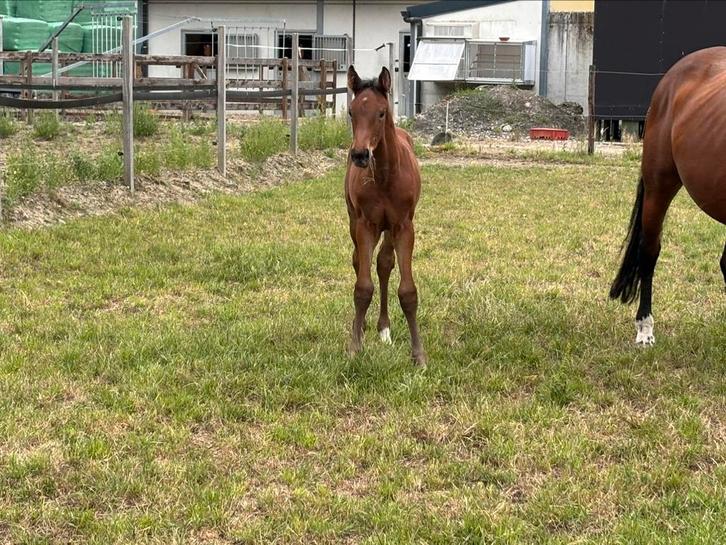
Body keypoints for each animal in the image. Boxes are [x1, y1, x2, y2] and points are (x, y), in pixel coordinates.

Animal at [344, 65, 426, 365]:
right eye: (351, 112)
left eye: (381, 113)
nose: (359, 155)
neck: (385, 176)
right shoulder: (365, 225)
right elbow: (362, 287)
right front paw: (355, 346)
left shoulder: (404, 226)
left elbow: (408, 291)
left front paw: (419, 355)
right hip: (354, 221)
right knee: (360, 261)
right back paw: (365, 326)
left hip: (390, 229)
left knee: (384, 264)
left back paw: (384, 328)